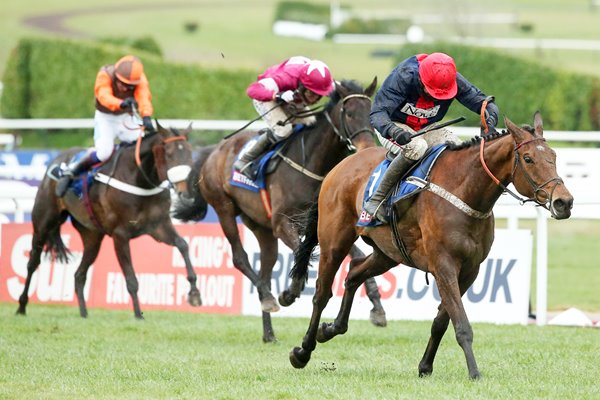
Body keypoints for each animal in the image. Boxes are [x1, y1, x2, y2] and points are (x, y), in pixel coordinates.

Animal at [13, 122, 202, 318]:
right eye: (169, 154)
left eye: (190, 153)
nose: (186, 193)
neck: (139, 180)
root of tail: (57, 160)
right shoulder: (120, 235)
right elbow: (131, 279)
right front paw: (138, 315)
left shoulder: (159, 226)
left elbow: (183, 245)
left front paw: (194, 292)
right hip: (43, 222)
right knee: (33, 262)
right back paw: (21, 306)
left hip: (92, 236)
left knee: (79, 274)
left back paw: (84, 314)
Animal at [172, 79, 390, 342]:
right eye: (348, 113)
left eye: (369, 114)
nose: (366, 146)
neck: (311, 164)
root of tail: (214, 150)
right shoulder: (283, 223)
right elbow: (300, 252)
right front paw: (290, 291)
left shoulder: (328, 226)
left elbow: (355, 257)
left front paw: (377, 308)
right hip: (224, 208)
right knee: (240, 258)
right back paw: (269, 298)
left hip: (262, 229)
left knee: (265, 270)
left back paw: (269, 332)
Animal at [288, 111, 576, 378]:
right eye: (528, 158)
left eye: (554, 156)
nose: (564, 202)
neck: (464, 192)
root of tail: (339, 166)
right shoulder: (444, 265)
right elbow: (461, 323)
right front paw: (474, 372)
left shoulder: (470, 270)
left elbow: (441, 321)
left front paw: (425, 366)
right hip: (334, 241)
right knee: (322, 293)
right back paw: (303, 351)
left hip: (388, 252)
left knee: (354, 273)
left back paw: (331, 329)